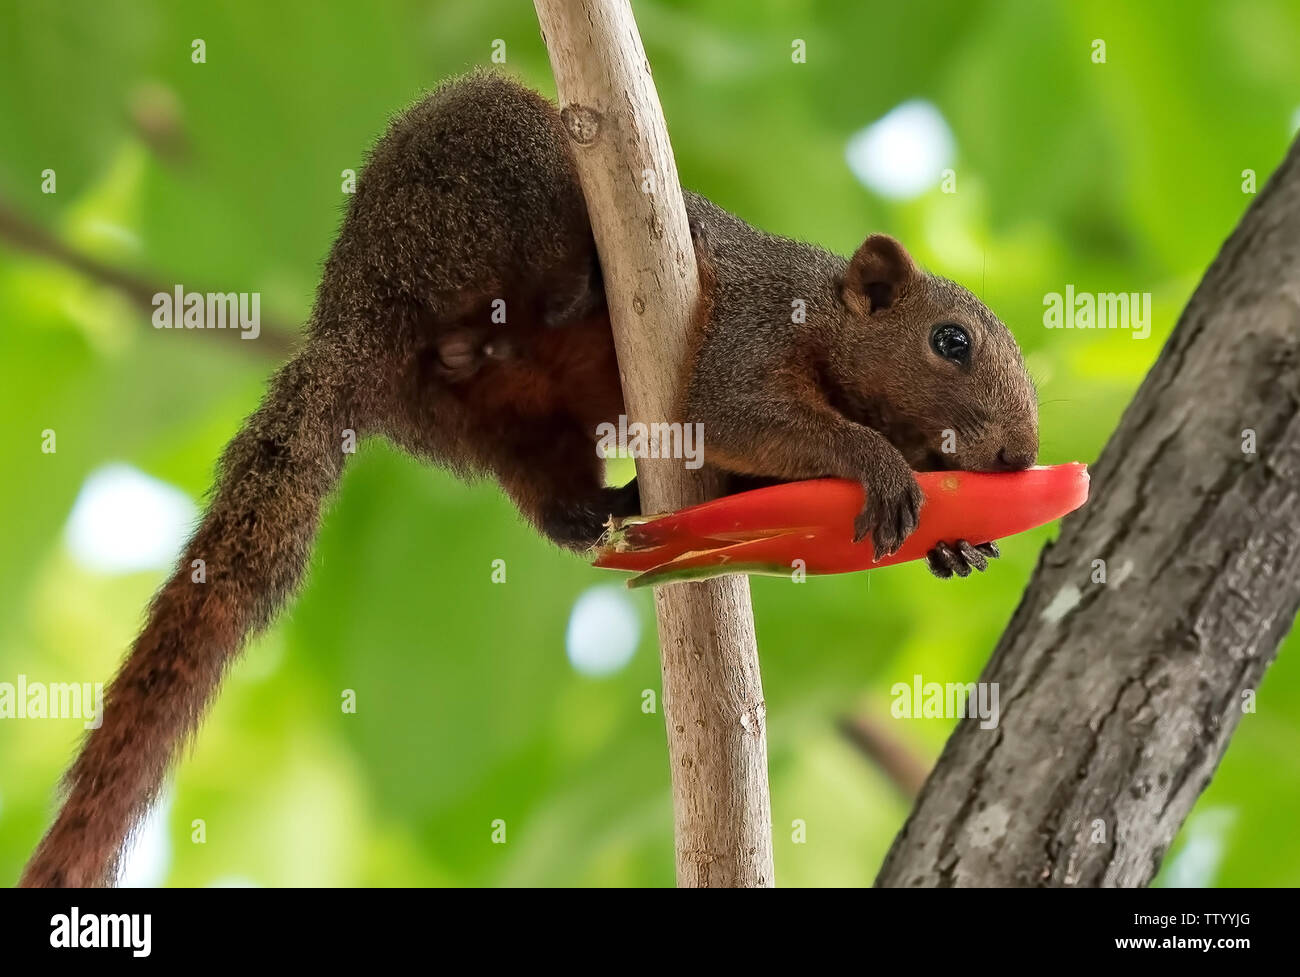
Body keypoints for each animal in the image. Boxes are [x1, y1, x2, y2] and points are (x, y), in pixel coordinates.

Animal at [19, 71, 1037, 887]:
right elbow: (747, 415)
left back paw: (610, 499)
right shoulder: (750, 330)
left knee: (549, 495)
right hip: (497, 169)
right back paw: (577, 280)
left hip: (495, 418)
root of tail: (347, 314)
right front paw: (885, 467)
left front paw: (957, 543)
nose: (1020, 459)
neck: (824, 319)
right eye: (951, 342)